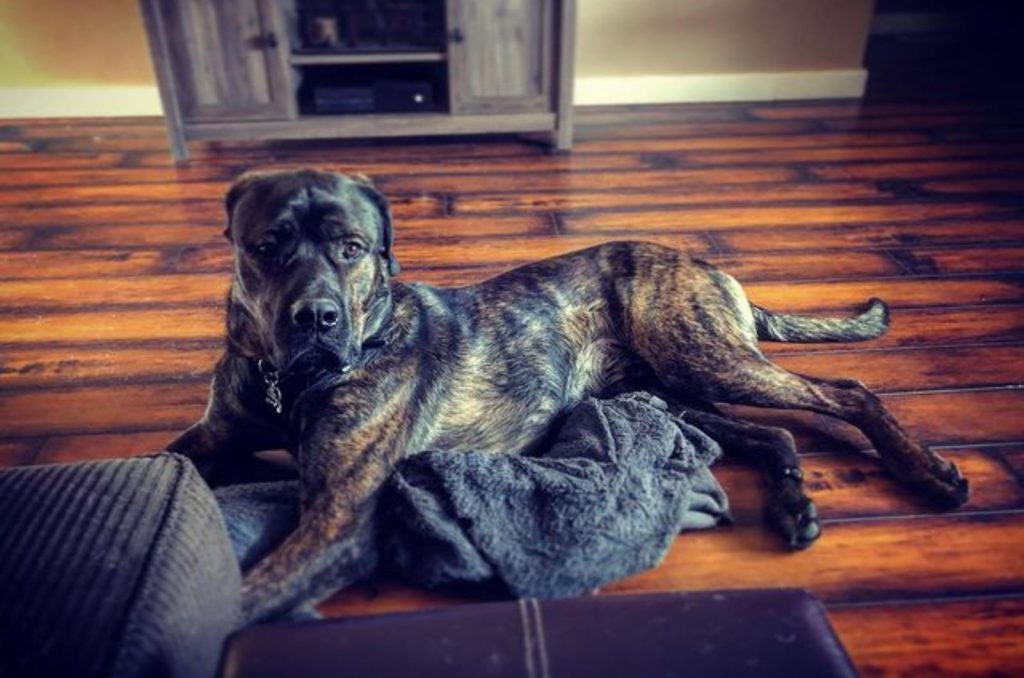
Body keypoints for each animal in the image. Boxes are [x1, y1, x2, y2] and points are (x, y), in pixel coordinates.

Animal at [167, 171, 966, 626]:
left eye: (353, 249)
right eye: (267, 247)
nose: (316, 318)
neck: (290, 382)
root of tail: (707, 266)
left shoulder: (338, 518)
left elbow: (245, 600)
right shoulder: (210, 440)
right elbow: (167, 462)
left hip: (704, 358)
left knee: (846, 391)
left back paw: (927, 472)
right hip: (670, 390)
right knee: (774, 433)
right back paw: (794, 504)